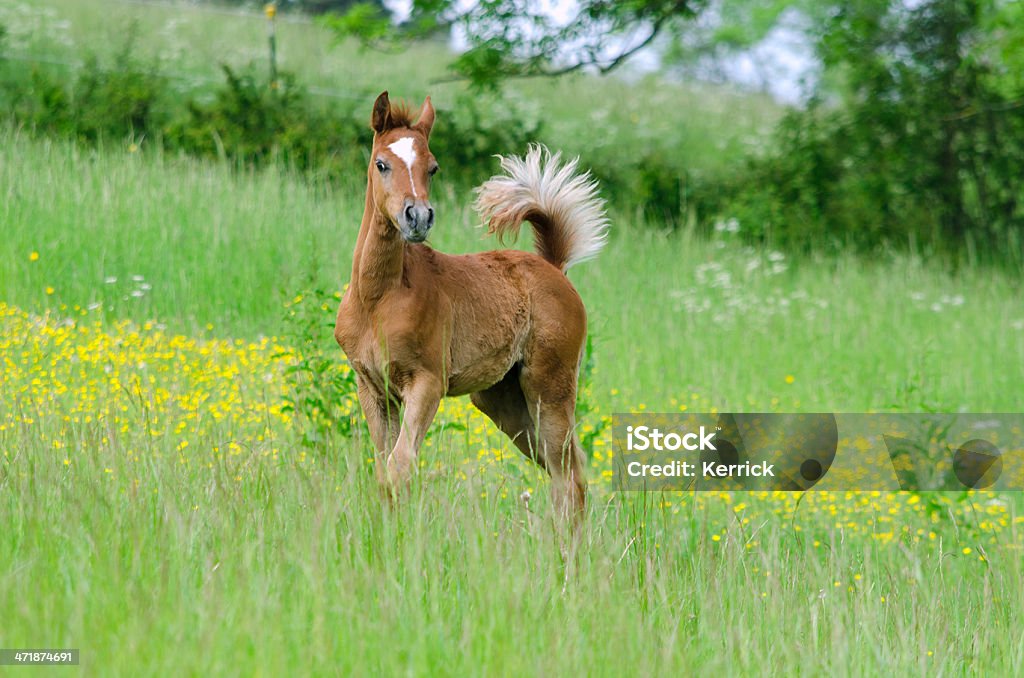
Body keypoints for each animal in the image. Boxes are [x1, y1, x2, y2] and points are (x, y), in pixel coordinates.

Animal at [335, 91, 606, 520]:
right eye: (381, 164)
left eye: (432, 168)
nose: (418, 217)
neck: (377, 299)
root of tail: (553, 268)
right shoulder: (372, 388)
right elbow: (383, 472)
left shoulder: (427, 382)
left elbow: (400, 465)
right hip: (504, 401)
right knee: (560, 469)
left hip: (550, 387)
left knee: (571, 475)